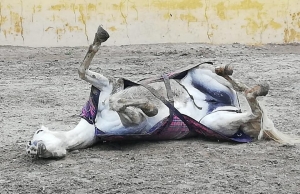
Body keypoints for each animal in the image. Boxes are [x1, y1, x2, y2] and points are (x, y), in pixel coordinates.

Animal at [26, 26, 300, 159]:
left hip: (201, 77)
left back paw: (231, 72)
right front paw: (150, 108)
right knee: (256, 112)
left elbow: (85, 73)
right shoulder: (135, 123)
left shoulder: (108, 85)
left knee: (232, 83)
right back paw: (253, 91)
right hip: (218, 121)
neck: (93, 126)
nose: (32, 148)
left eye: (35, 134)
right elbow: (124, 105)